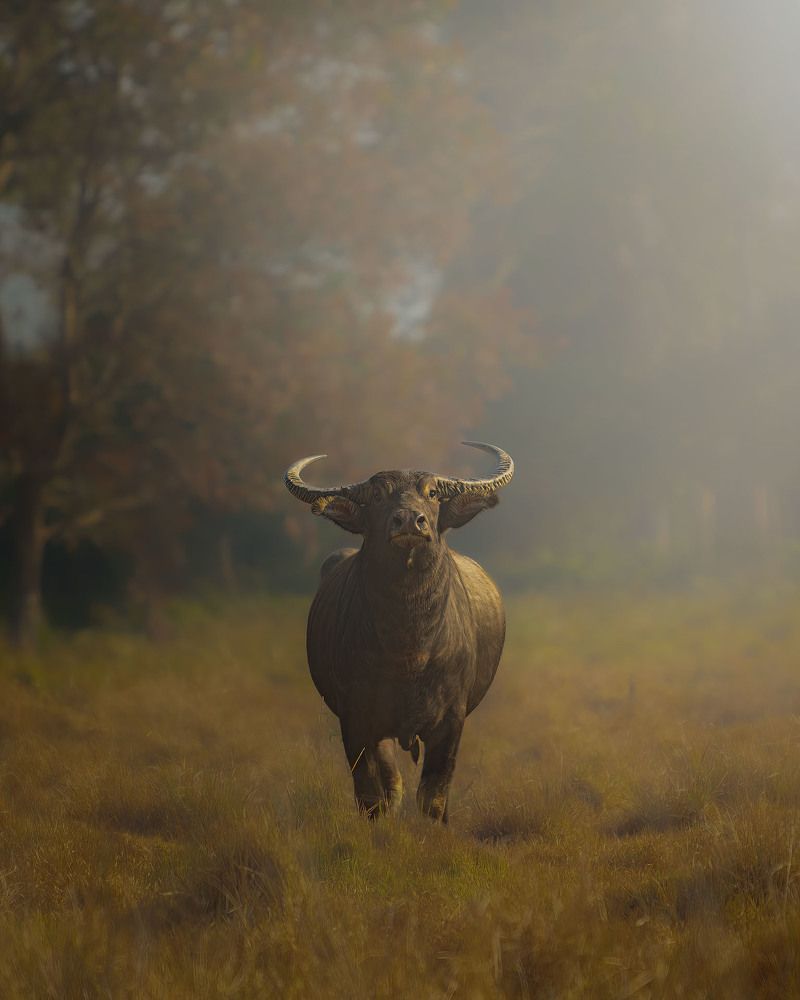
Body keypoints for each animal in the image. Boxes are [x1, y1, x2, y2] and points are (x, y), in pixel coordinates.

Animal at [284, 441, 513, 821]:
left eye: (432, 493)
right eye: (378, 495)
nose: (408, 520)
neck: (409, 647)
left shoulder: (451, 721)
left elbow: (433, 796)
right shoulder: (356, 719)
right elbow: (371, 794)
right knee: (391, 785)